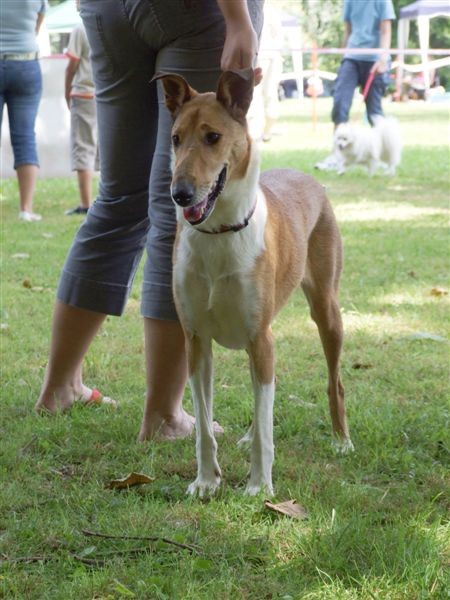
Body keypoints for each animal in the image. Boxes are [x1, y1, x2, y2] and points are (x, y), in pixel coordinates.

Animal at [155, 69, 356, 496]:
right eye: (176, 138)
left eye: (213, 137)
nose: (180, 195)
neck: (219, 233)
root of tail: (303, 175)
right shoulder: (196, 341)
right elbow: (205, 427)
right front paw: (206, 481)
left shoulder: (261, 337)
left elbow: (266, 428)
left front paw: (260, 487)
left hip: (326, 311)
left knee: (334, 382)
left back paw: (342, 440)